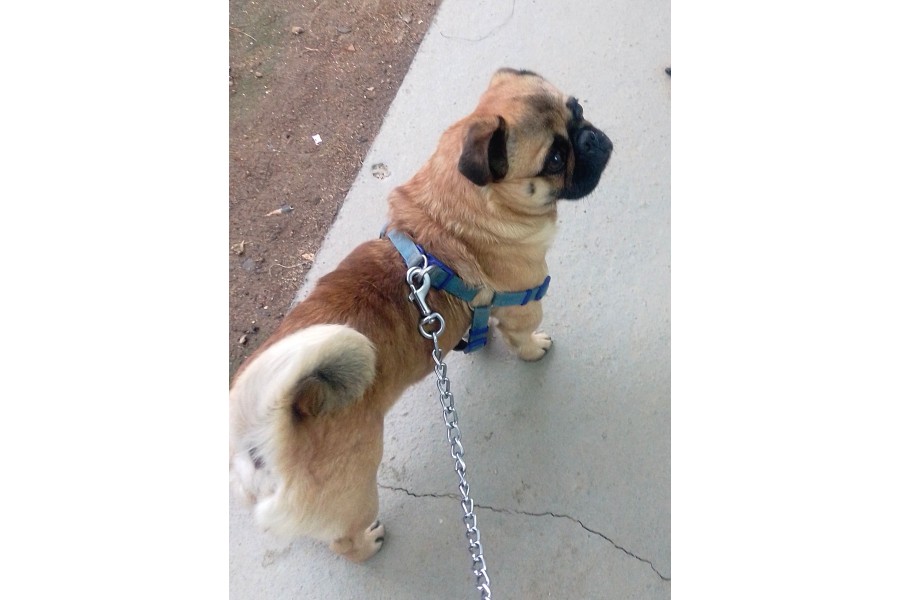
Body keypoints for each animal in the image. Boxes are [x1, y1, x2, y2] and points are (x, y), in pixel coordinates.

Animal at [230, 68, 613, 562]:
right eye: (555, 157)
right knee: (344, 540)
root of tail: (262, 436)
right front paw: (533, 349)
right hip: (357, 490)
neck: (458, 210)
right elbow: (524, 337)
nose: (589, 137)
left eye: (577, 108)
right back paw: (368, 544)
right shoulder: (525, 305)